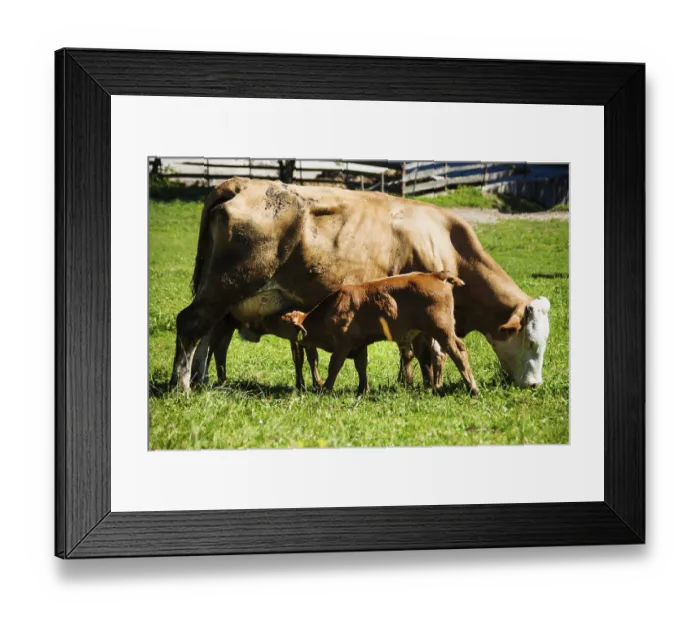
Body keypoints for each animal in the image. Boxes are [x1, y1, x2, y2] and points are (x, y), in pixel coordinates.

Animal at [170, 178, 551, 392]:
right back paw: (182, 386)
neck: (445, 239)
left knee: (206, 333)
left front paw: (412, 383)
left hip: (217, 291)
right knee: (191, 324)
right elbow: (430, 351)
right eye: (532, 342)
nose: (535, 385)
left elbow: (413, 350)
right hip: (227, 284)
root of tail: (239, 183)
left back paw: (202, 382)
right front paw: (427, 384)